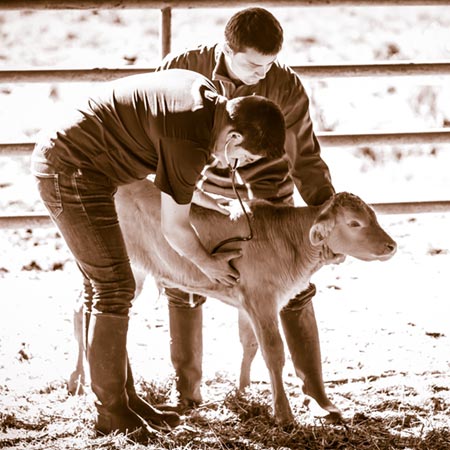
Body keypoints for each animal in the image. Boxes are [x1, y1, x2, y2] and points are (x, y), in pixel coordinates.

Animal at [68, 178, 396, 424]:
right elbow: (273, 352)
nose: (391, 245)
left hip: (128, 270)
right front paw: (283, 414)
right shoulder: (262, 299)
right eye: (354, 223)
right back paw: (80, 381)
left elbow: (250, 344)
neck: (287, 239)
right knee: (85, 309)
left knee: (87, 308)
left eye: (373, 217)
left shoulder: (250, 302)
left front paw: (243, 392)